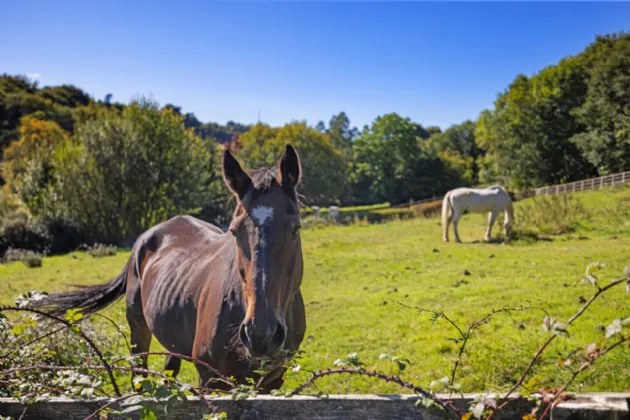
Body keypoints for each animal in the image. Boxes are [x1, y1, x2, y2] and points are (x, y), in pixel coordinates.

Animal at [35, 145, 308, 394]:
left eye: (295, 229)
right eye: (234, 231)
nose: (260, 334)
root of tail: (146, 237)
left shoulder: (272, 383)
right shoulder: (210, 380)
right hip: (138, 329)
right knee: (139, 375)